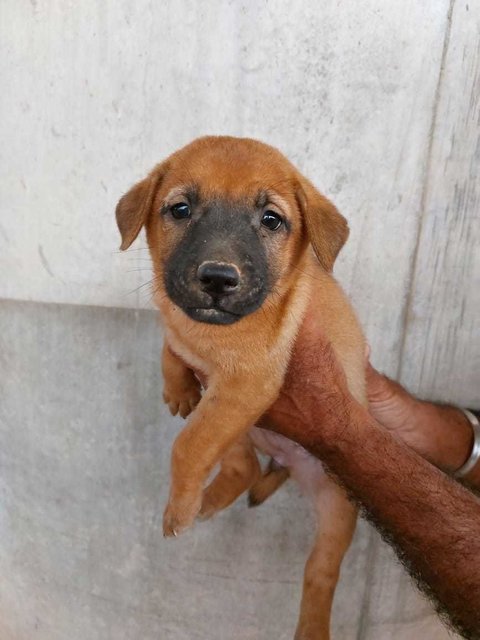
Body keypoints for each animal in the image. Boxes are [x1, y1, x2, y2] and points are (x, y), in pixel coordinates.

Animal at [116, 136, 368, 640]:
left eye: (271, 219)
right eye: (180, 209)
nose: (217, 278)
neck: (210, 335)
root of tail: (292, 465)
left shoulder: (246, 385)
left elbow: (187, 446)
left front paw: (176, 510)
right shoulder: (212, 380)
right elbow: (171, 348)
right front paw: (177, 389)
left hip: (336, 506)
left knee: (320, 572)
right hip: (242, 428)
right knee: (244, 467)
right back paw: (207, 502)